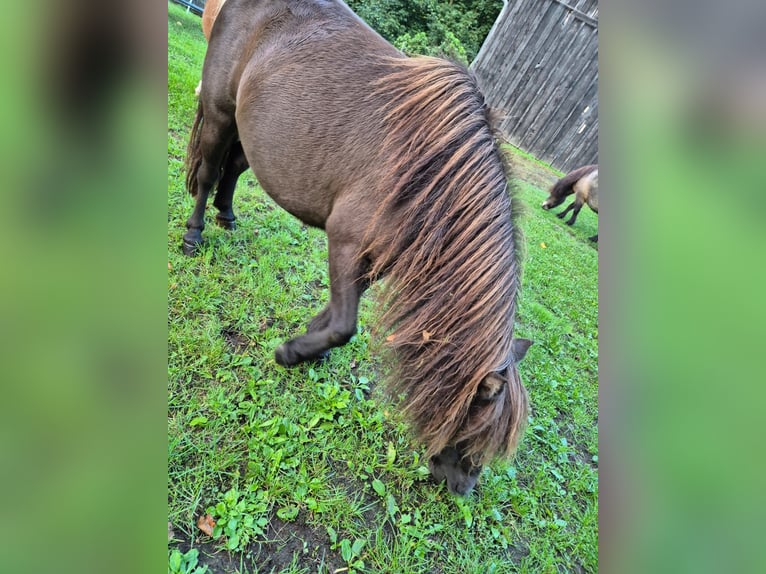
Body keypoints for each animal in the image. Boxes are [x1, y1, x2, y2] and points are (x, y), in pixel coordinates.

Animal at [183, 0, 531, 496]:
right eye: (472, 427)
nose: (463, 488)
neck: (426, 180)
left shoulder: (372, 262)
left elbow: (334, 316)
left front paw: (307, 344)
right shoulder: (346, 245)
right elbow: (345, 325)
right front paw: (290, 354)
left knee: (233, 166)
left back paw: (227, 216)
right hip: (219, 111)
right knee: (210, 170)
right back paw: (194, 234)